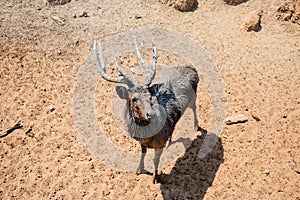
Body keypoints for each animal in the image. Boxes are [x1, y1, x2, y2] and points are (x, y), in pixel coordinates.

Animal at [92, 38, 198, 184]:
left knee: (195, 108)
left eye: (150, 96)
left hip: (194, 96)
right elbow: (143, 153)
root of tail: (192, 68)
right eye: (134, 99)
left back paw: (196, 127)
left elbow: (155, 159)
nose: (151, 114)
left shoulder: (160, 143)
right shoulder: (142, 142)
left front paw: (155, 177)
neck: (148, 136)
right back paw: (171, 139)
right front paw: (139, 169)